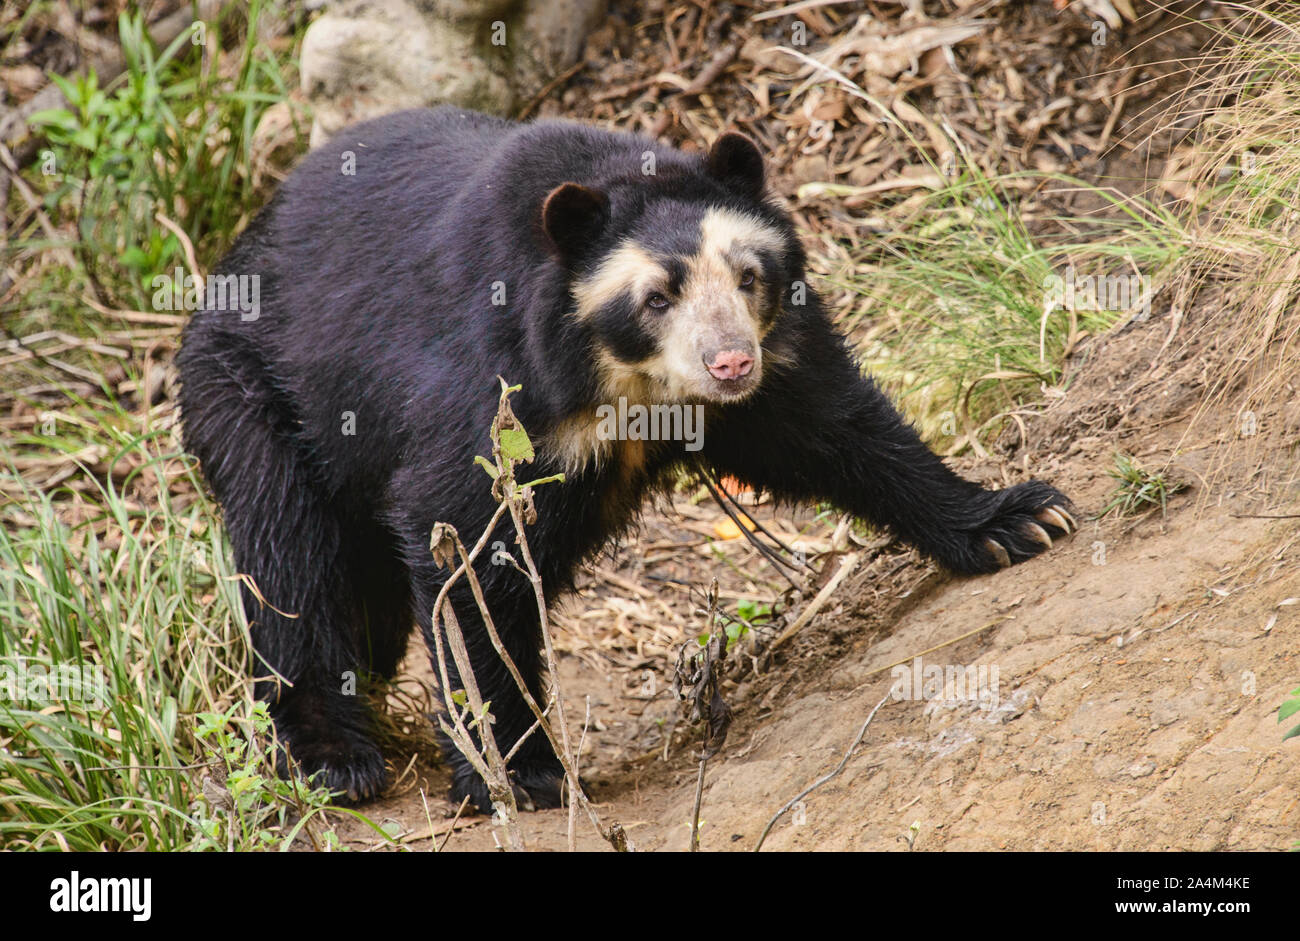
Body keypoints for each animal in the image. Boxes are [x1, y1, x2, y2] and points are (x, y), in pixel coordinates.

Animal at [175, 102, 1076, 811]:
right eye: (657, 297)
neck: (622, 378)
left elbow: (838, 427)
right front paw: (521, 771)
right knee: (291, 557)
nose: (731, 364)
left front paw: (1018, 519)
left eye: (748, 275)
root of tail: (235, 258)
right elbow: (462, 537)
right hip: (250, 393)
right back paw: (336, 757)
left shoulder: (780, 356)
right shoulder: (493, 382)